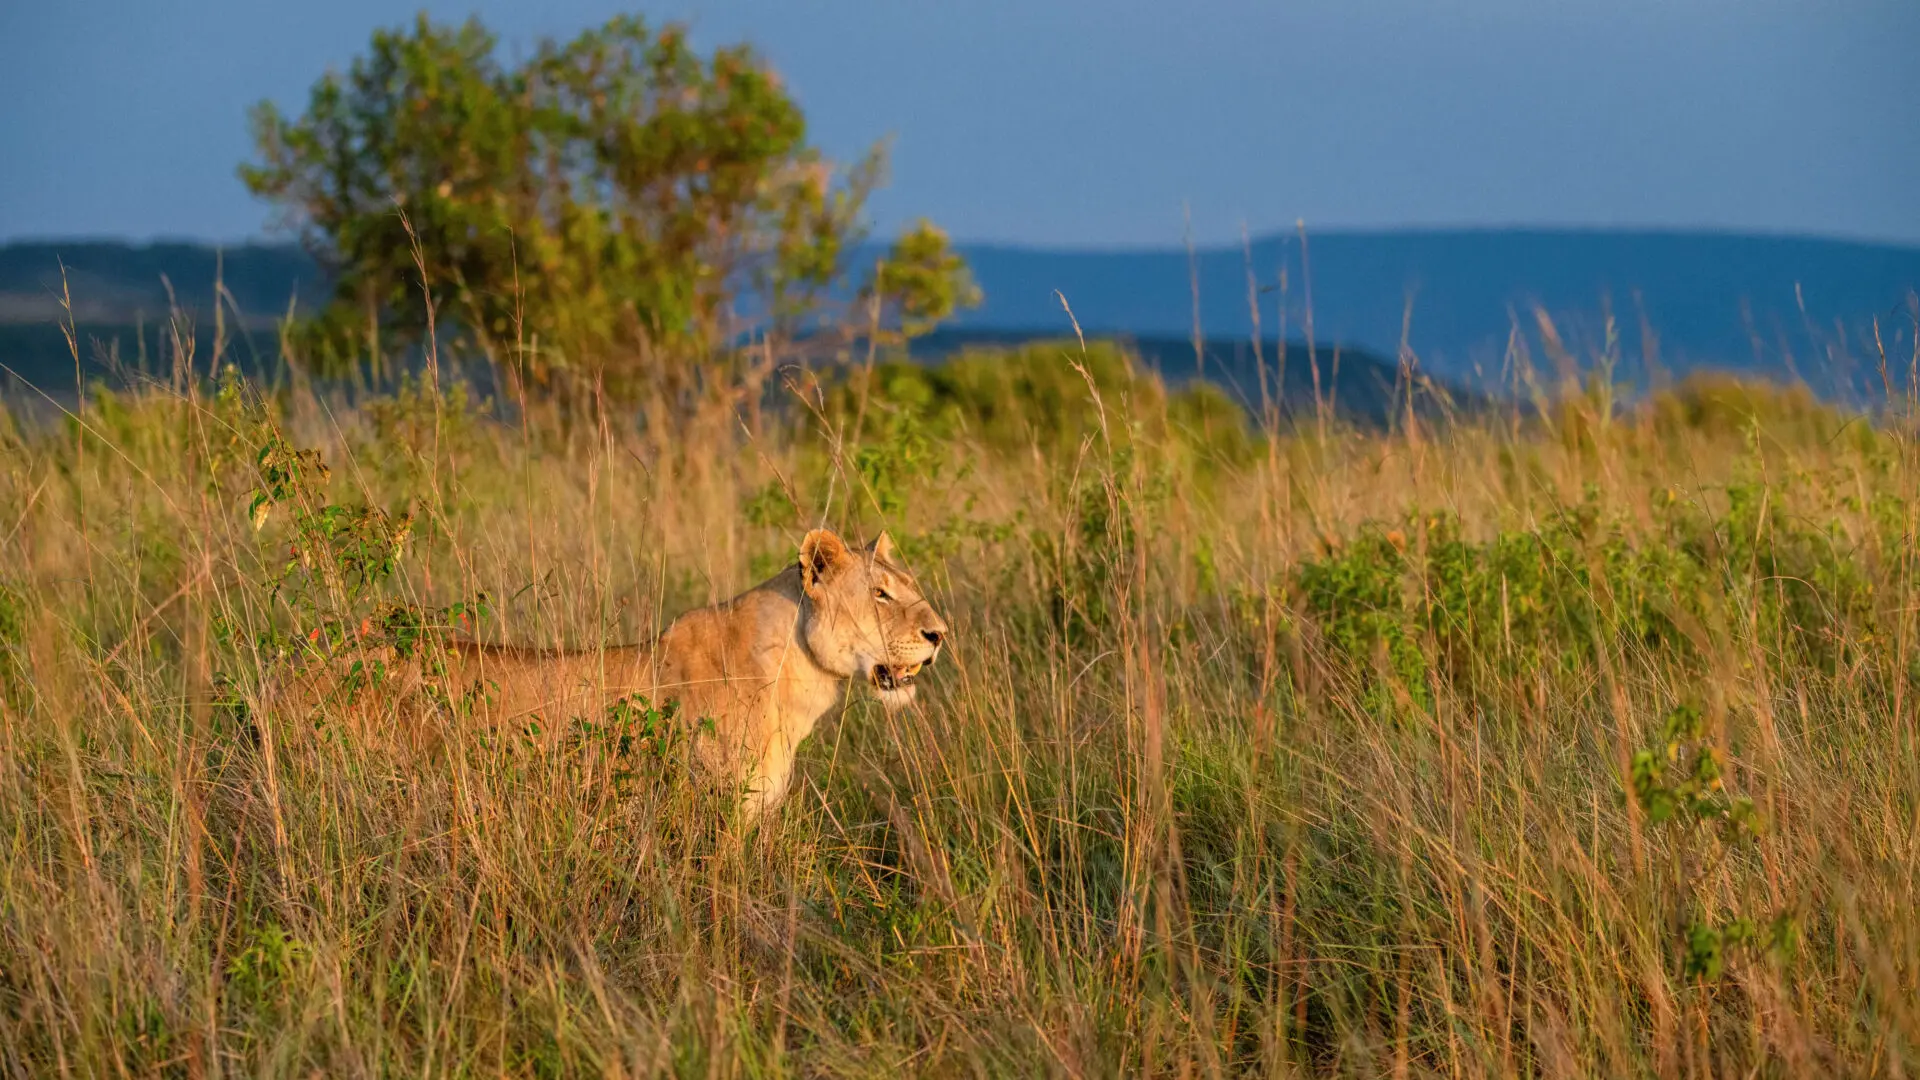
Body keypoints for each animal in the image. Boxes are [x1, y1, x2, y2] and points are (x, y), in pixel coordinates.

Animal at [275, 529, 947, 820]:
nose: (941, 634)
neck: (795, 676)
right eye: (881, 594)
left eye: (909, 585)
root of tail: (305, 665)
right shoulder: (716, 812)